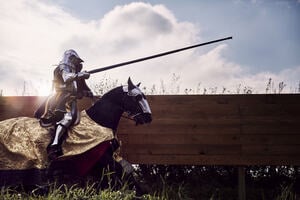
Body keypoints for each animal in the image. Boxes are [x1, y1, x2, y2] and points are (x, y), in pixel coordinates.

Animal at [0, 78, 151, 195]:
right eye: (138, 97)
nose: (148, 117)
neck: (99, 120)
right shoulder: (103, 159)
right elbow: (122, 174)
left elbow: (125, 174)